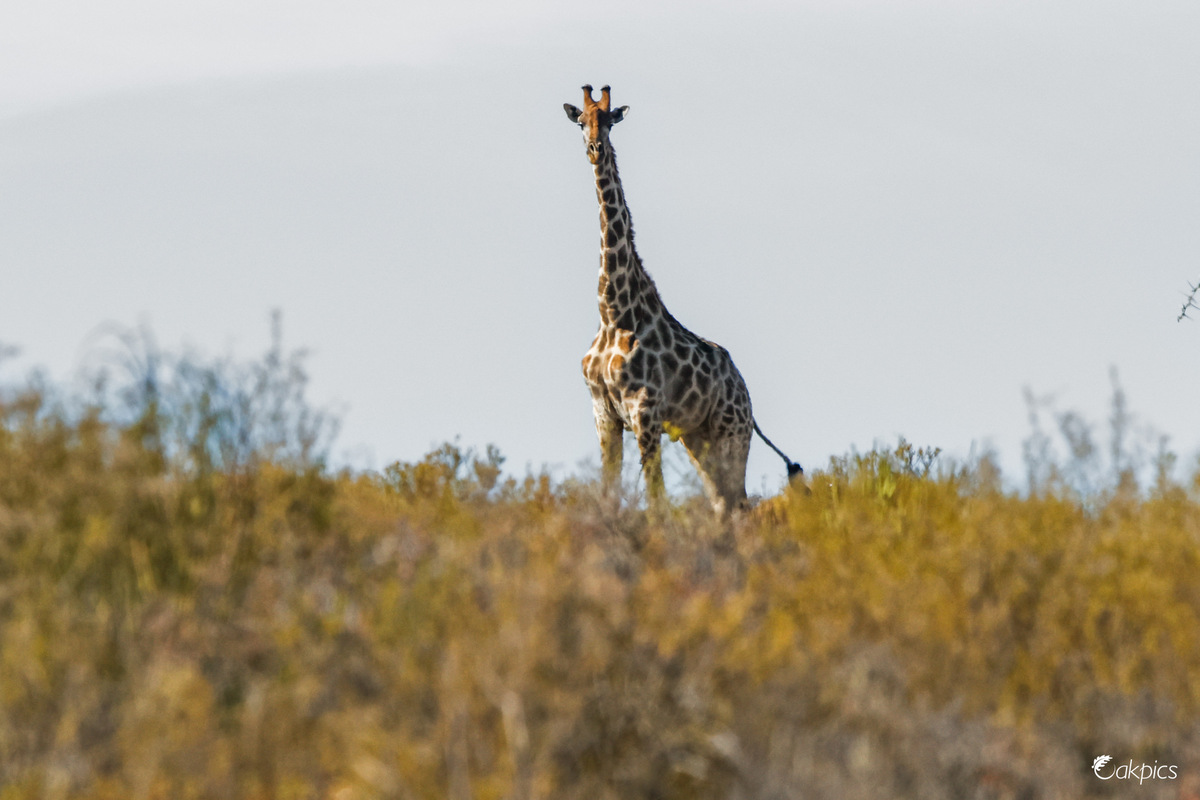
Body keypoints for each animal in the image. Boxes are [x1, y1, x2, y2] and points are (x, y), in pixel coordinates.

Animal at [563, 85, 803, 515]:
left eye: (609, 120)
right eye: (581, 121)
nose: (595, 148)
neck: (613, 312)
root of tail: (744, 391)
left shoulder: (644, 411)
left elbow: (656, 500)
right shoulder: (604, 413)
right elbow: (610, 493)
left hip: (731, 431)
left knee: (739, 504)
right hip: (698, 438)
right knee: (724, 504)